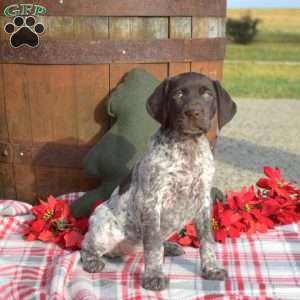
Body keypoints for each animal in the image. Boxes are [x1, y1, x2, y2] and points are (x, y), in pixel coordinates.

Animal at [80, 72, 237, 290]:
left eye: (207, 94)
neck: (188, 145)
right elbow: (153, 245)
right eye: (178, 94)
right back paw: (92, 260)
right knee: (86, 245)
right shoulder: (152, 201)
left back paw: (169, 246)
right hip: (105, 227)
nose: (193, 112)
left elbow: (207, 240)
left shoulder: (203, 201)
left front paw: (211, 269)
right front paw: (154, 275)